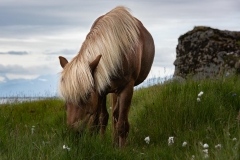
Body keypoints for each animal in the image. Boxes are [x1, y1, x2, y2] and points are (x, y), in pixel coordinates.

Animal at [59, 5, 155, 146]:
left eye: (87, 94)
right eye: (66, 98)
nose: (73, 133)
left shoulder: (127, 88)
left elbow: (121, 124)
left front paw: (122, 148)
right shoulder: (100, 90)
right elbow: (102, 118)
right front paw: (101, 142)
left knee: (117, 115)